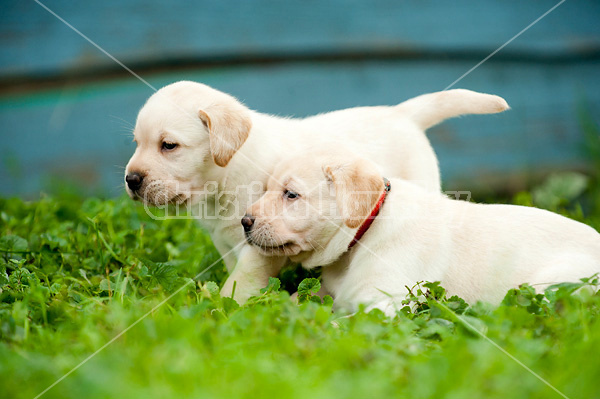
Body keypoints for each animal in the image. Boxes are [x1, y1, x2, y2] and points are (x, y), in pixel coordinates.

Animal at [124, 81, 508, 304]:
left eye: (169, 146)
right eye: (137, 143)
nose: (131, 179)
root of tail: (402, 113)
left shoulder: (259, 246)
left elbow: (241, 281)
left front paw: (225, 307)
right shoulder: (228, 239)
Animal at [244, 152, 600, 318]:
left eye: (291, 195)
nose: (245, 221)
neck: (367, 232)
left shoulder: (384, 304)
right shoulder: (331, 293)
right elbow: (296, 298)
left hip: (552, 286)